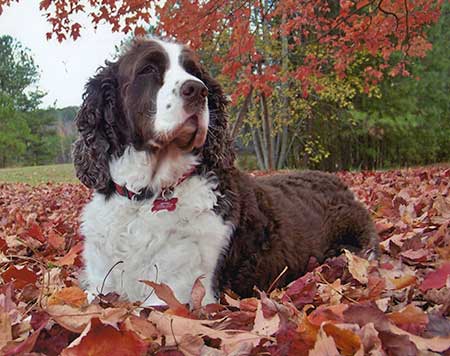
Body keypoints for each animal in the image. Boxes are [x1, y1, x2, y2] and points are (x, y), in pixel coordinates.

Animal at [73, 37, 376, 304]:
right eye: (147, 69)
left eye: (196, 73)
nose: (197, 90)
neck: (146, 195)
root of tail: (340, 184)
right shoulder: (100, 284)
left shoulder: (178, 293)